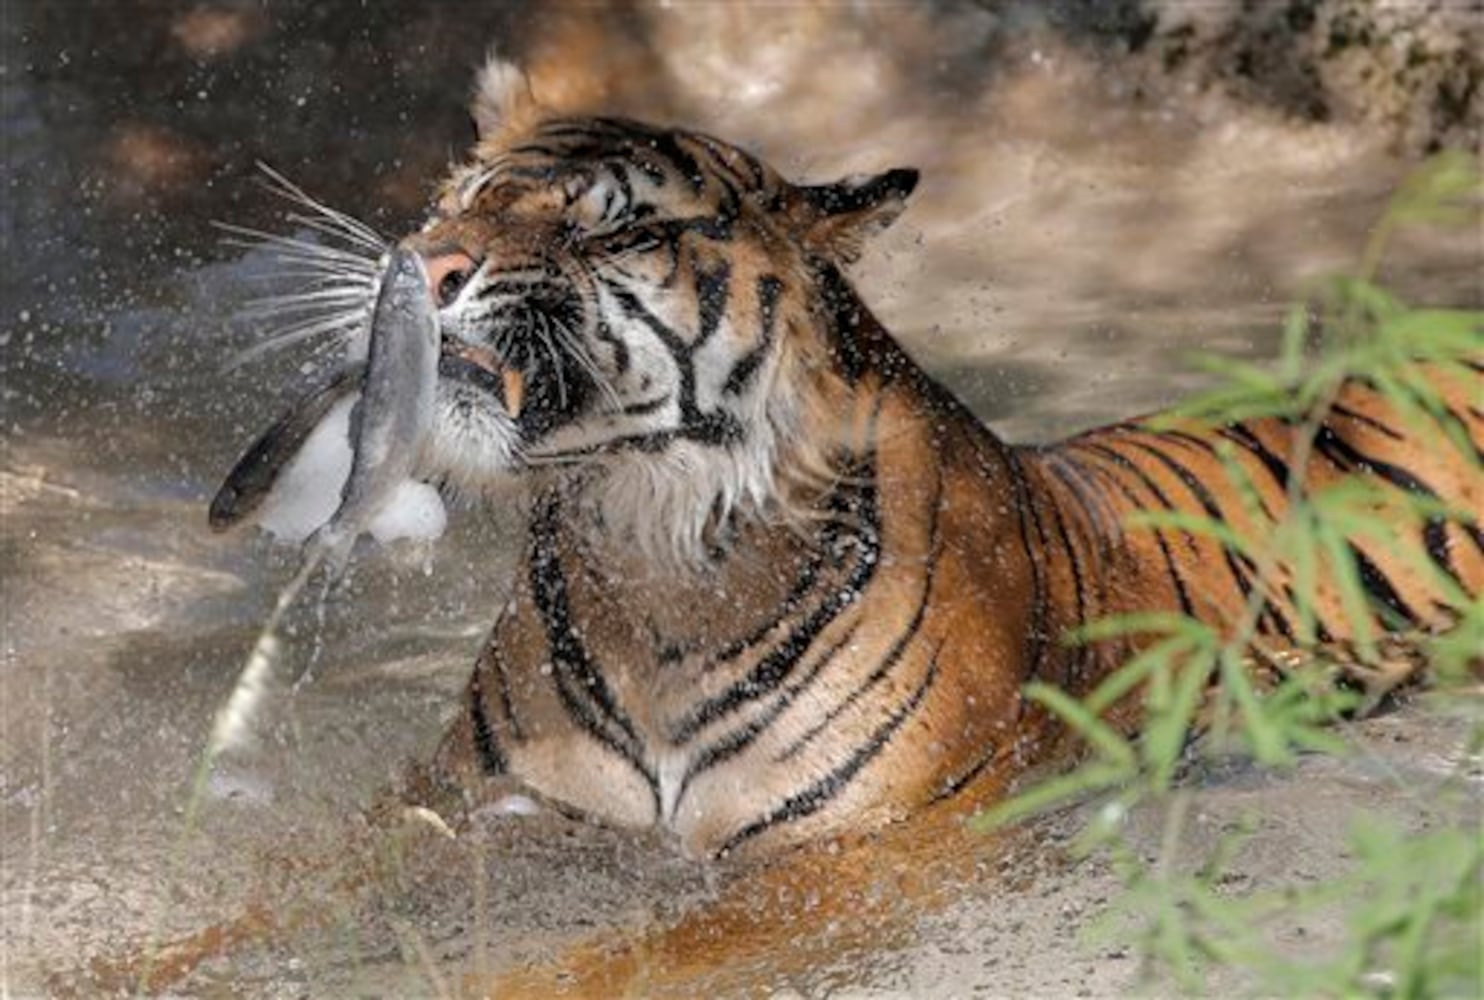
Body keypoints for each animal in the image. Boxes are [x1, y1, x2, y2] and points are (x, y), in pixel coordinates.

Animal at [219, 58, 1484, 860]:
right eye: (468, 198)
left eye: (619, 227)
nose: (424, 266)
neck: (649, 562)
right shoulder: (449, 812)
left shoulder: (852, 849)